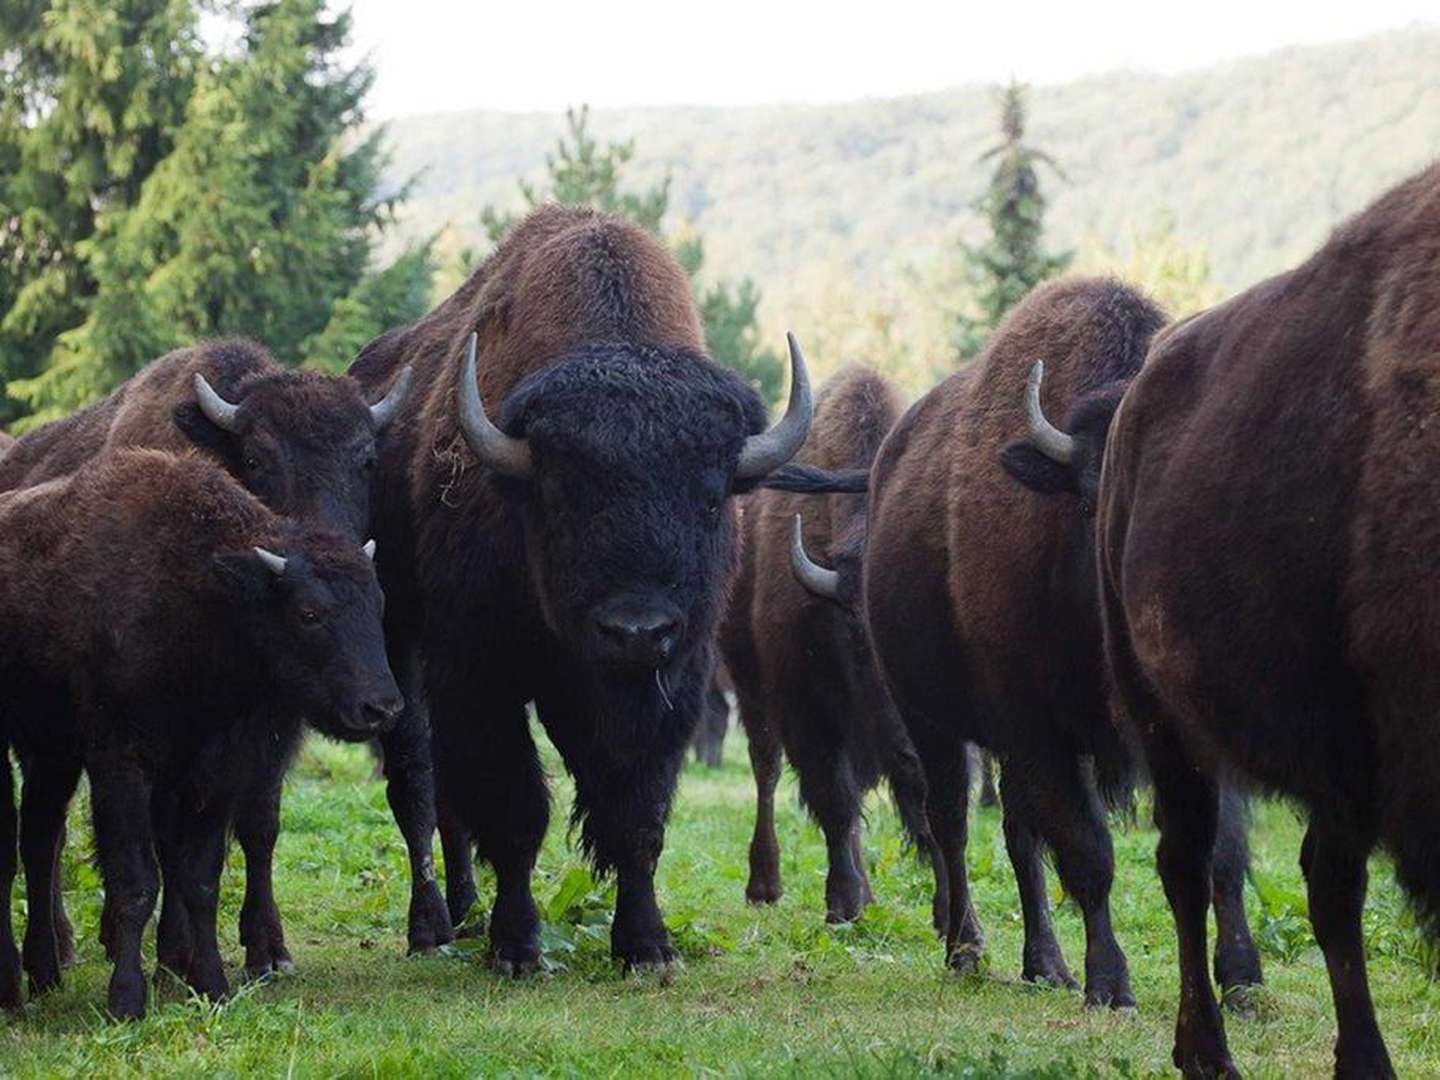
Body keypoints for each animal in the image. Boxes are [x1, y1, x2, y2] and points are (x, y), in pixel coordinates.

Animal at [0, 339, 434, 979]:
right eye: (256, 457)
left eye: (367, 458)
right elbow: (165, 840)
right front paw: (174, 955)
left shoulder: (263, 731)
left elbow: (258, 824)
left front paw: (268, 950)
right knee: (48, 834)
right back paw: (65, 944)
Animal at [345, 204, 823, 973]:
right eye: (561, 494)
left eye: (711, 496)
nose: (636, 630)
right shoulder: (481, 673)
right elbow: (516, 809)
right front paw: (518, 948)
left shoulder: (675, 686)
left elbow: (638, 814)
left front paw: (646, 945)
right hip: (398, 637)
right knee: (417, 783)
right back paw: (433, 927)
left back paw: (466, 914)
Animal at [720, 368, 933, 927]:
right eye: (859, 637)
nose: (912, 750)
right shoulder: (806, 712)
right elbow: (834, 800)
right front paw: (841, 902)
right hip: (749, 686)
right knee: (766, 769)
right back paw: (765, 885)